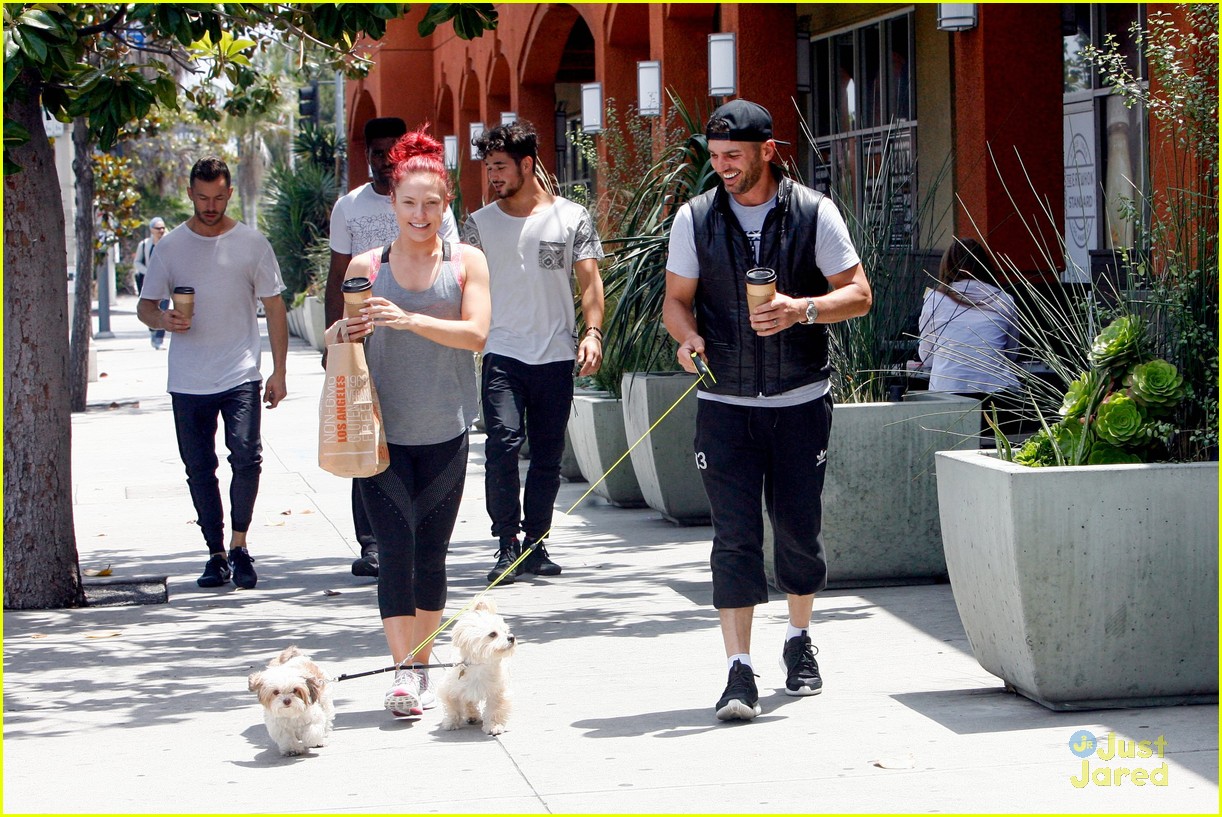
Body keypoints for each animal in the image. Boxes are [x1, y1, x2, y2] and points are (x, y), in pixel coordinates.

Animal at [439, 595, 515, 737]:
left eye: (506, 631)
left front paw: (494, 726)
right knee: (468, 701)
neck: (479, 665)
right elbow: (452, 707)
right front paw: (451, 722)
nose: (511, 637)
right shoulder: (449, 689)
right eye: (493, 634)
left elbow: (495, 709)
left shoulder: (497, 691)